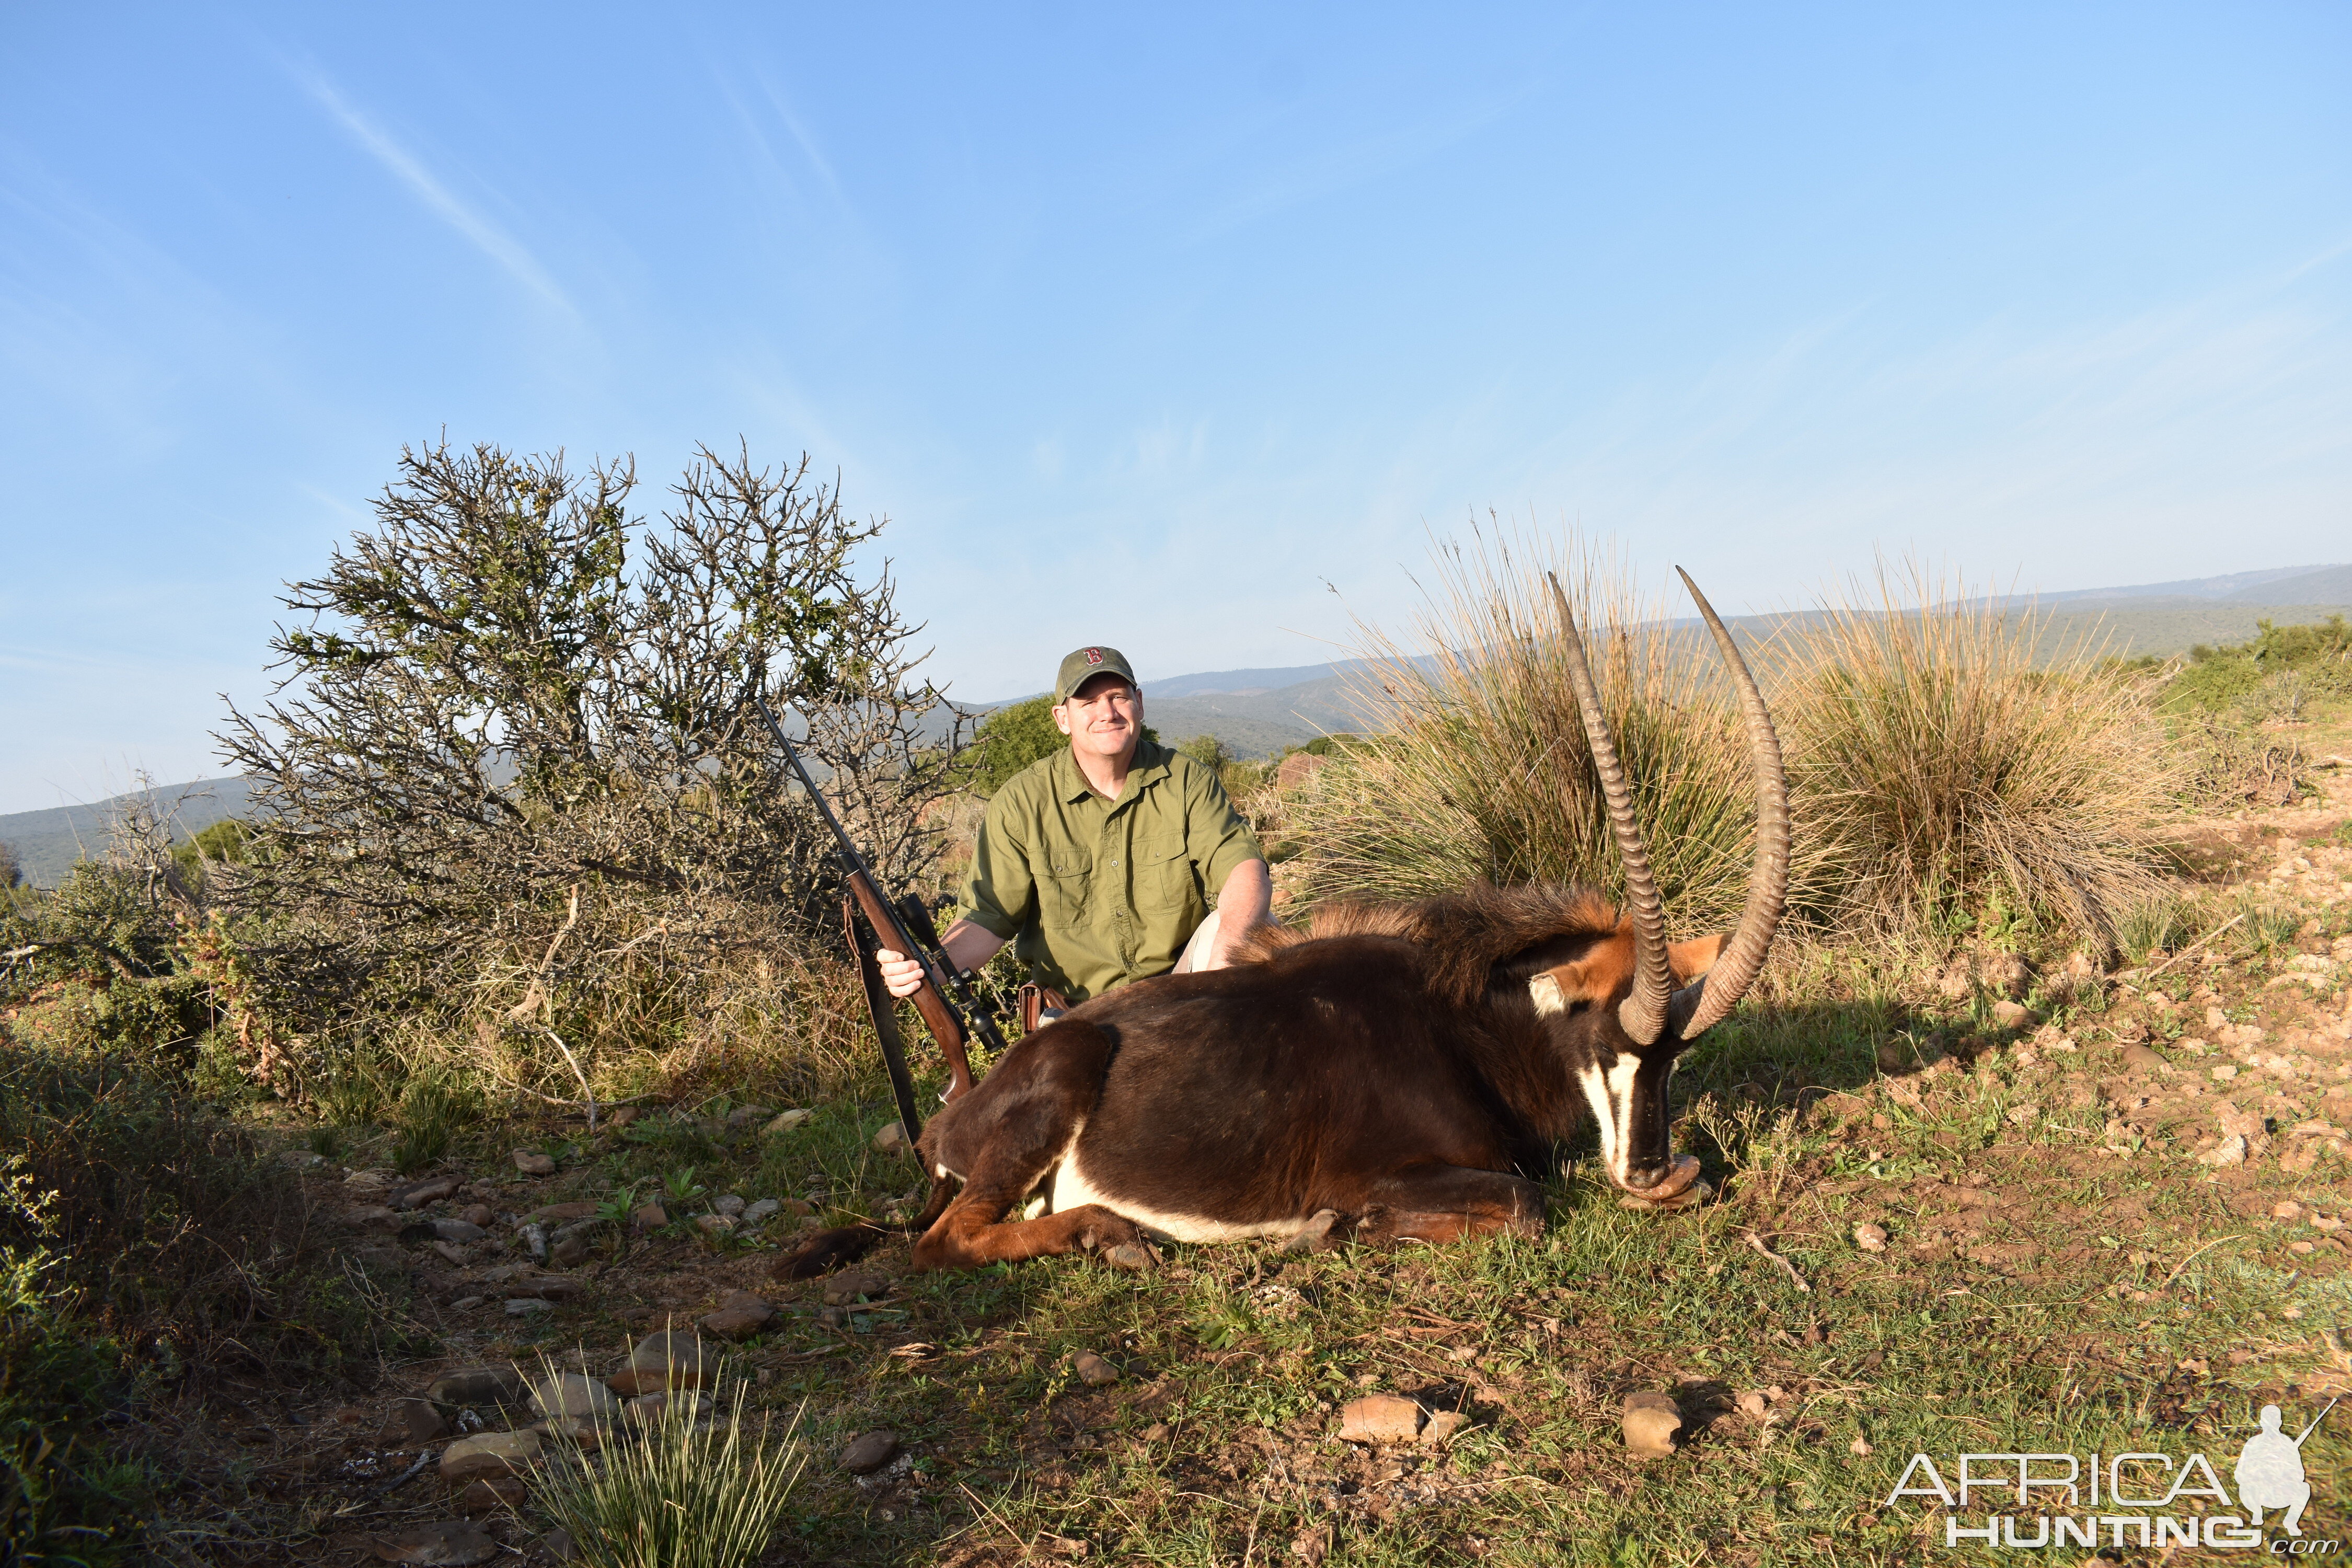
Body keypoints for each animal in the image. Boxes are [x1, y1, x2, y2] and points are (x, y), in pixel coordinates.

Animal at [781, 571, 1788, 1278]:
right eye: (1604, 1035)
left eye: (1676, 1057)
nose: (1652, 1175)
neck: (1462, 1023)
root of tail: (949, 1124)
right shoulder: (1398, 1174)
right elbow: (1526, 1204)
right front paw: (1329, 1230)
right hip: (1054, 1088)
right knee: (942, 1243)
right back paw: (1112, 1233)